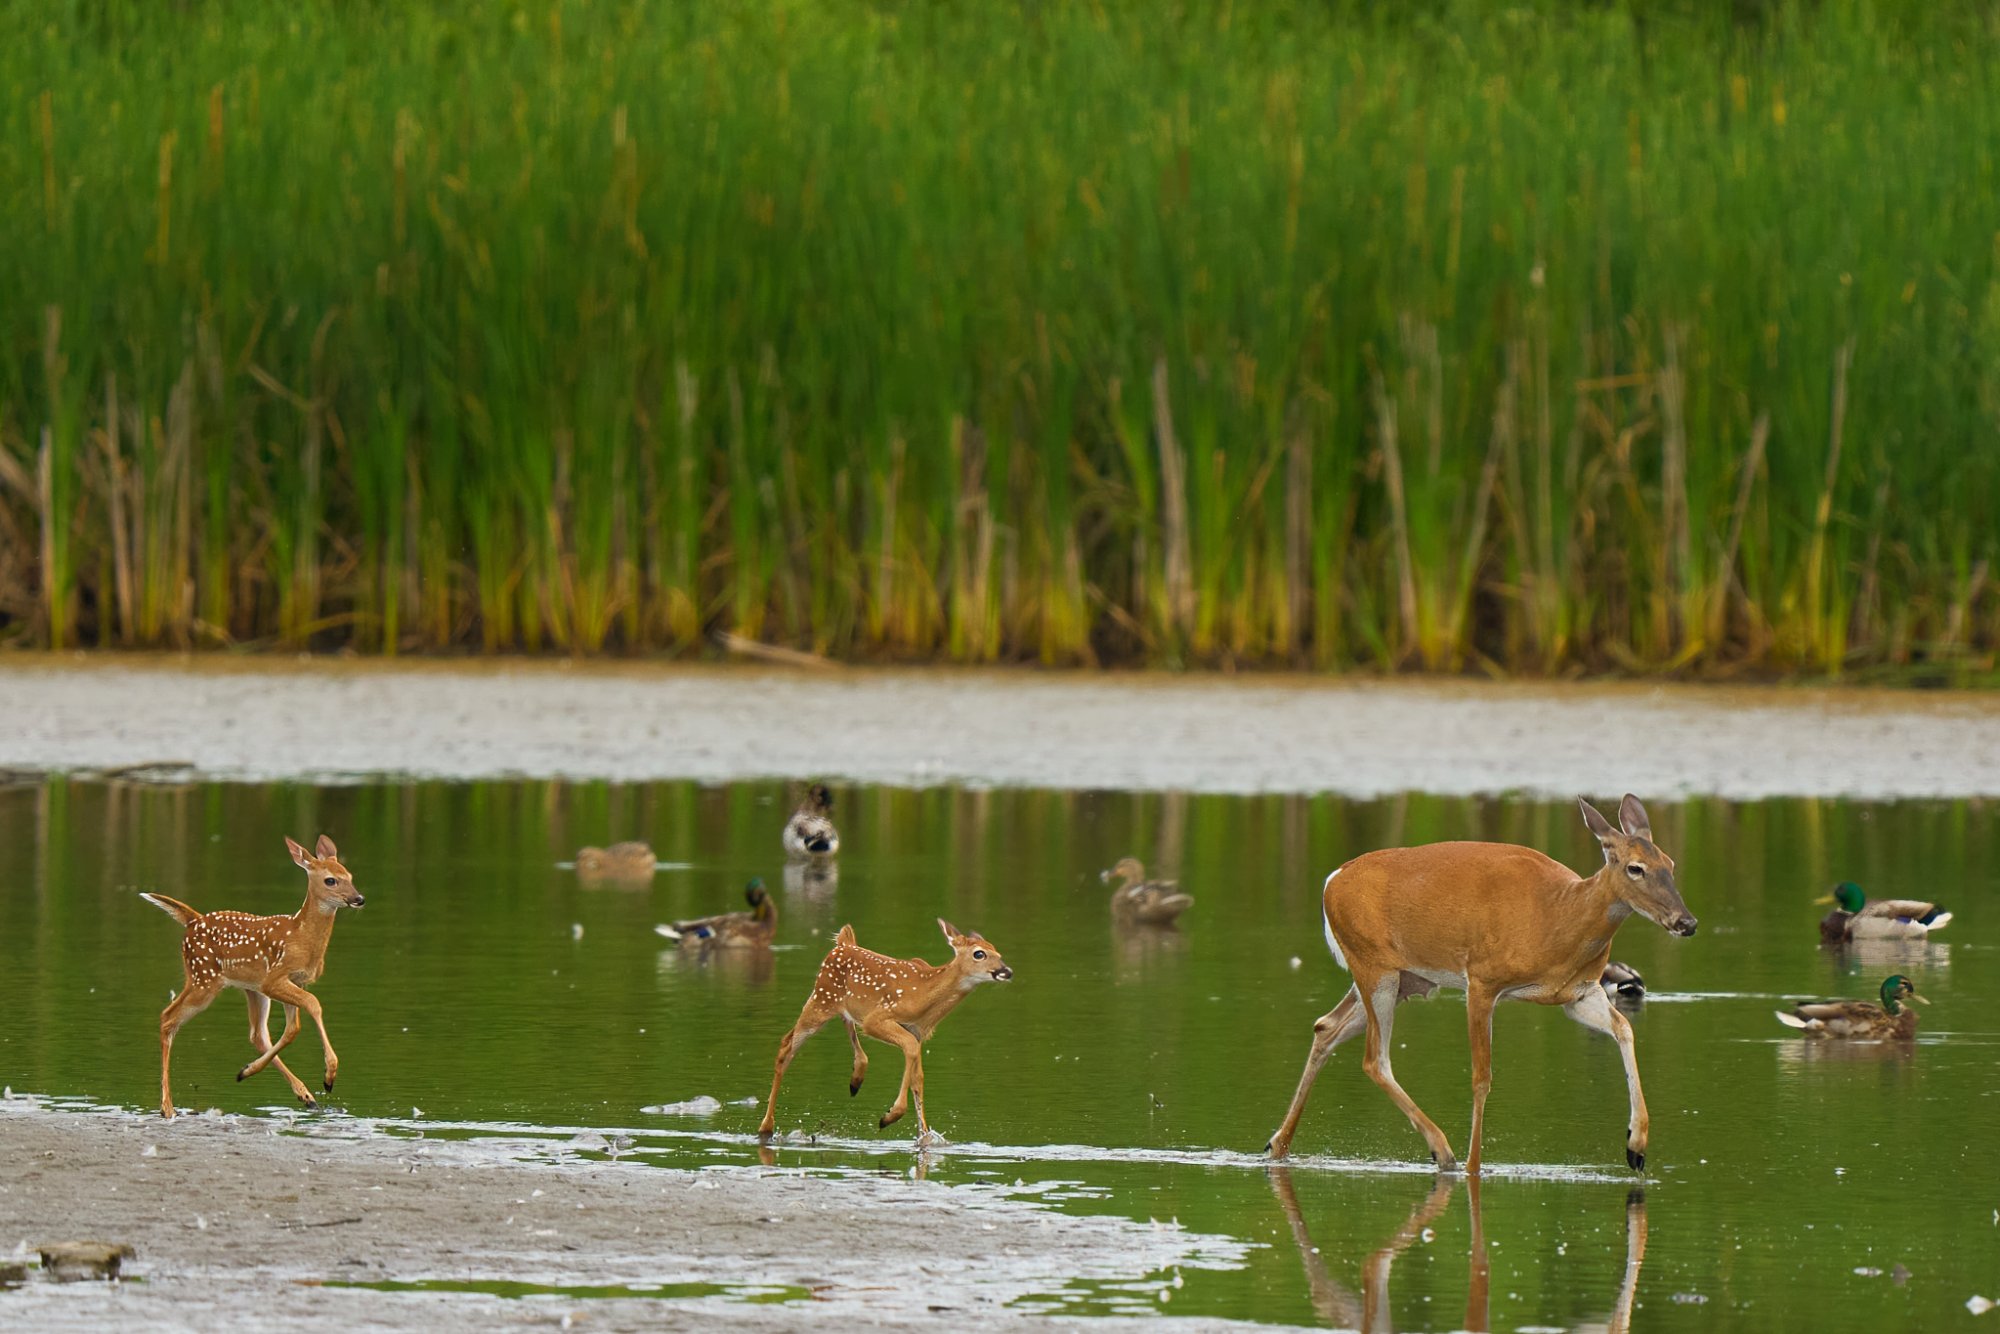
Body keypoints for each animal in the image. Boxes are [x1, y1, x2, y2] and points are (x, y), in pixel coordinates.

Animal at [141, 834, 366, 1119]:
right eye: (330, 880)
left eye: (350, 875)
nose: (358, 898)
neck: (302, 937)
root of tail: (193, 920)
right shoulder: (275, 978)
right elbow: (313, 1005)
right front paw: (329, 1076)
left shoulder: (292, 981)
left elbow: (292, 1028)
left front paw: (249, 1071)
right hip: (204, 977)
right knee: (168, 1017)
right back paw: (167, 1107)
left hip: (249, 988)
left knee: (257, 1035)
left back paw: (300, 1094)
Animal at [758, 919, 1012, 1141]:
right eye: (979, 953)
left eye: (998, 952)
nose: (1006, 971)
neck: (924, 998)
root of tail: (842, 944)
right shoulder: (877, 1019)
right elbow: (910, 1052)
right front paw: (889, 1117)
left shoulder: (916, 1032)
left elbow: (918, 1078)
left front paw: (924, 1137)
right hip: (821, 1000)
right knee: (786, 1047)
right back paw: (766, 1127)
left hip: (834, 1002)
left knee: (843, 1023)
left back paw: (857, 1077)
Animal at [1265, 795, 1696, 1175]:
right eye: (1635, 868)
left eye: (1671, 863)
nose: (1686, 922)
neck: (1560, 917)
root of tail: (1331, 881)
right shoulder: (1482, 981)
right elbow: (1481, 1076)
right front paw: (1475, 1167)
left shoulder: (1577, 993)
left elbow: (1624, 1029)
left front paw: (1636, 1147)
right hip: (1374, 967)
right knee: (1375, 1058)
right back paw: (1444, 1152)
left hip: (1402, 979)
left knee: (1326, 1027)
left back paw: (1277, 1145)